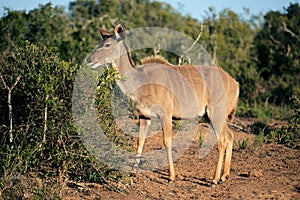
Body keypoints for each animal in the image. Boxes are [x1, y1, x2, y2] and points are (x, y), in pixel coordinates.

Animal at [86, 24, 239, 186]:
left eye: (107, 45)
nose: (89, 60)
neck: (140, 81)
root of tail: (235, 83)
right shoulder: (144, 117)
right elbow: (140, 141)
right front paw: (133, 173)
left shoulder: (165, 115)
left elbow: (166, 141)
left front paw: (171, 177)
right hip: (212, 117)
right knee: (230, 136)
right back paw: (224, 176)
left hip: (215, 114)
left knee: (222, 141)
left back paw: (215, 179)